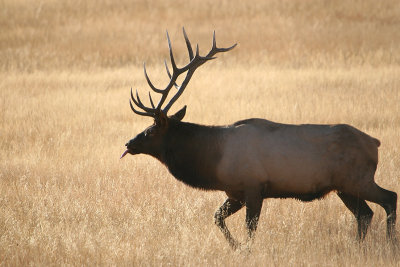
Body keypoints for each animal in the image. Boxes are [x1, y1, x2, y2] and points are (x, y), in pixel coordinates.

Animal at [121, 28, 396, 250]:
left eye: (151, 130)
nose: (128, 144)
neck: (213, 161)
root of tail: (375, 142)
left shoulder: (254, 186)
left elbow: (250, 229)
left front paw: (245, 249)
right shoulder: (234, 192)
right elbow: (217, 217)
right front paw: (235, 248)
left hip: (358, 179)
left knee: (389, 198)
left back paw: (390, 242)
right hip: (344, 186)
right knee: (365, 214)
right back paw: (359, 247)